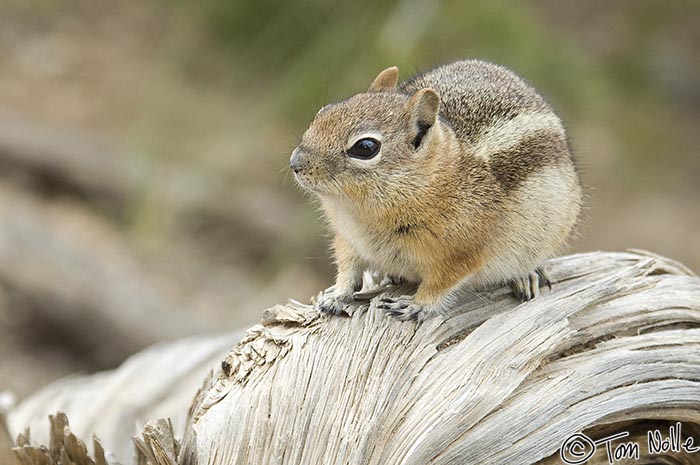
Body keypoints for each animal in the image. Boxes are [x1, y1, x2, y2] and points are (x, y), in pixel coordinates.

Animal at [288, 59, 580, 320]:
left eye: (365, 147)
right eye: (324, 111)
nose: (295, 163)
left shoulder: (462, 253)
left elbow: (440, 285)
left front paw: (417, 306)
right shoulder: (348, 239)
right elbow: (348, 270)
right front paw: (336, 296)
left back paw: (527, 275)